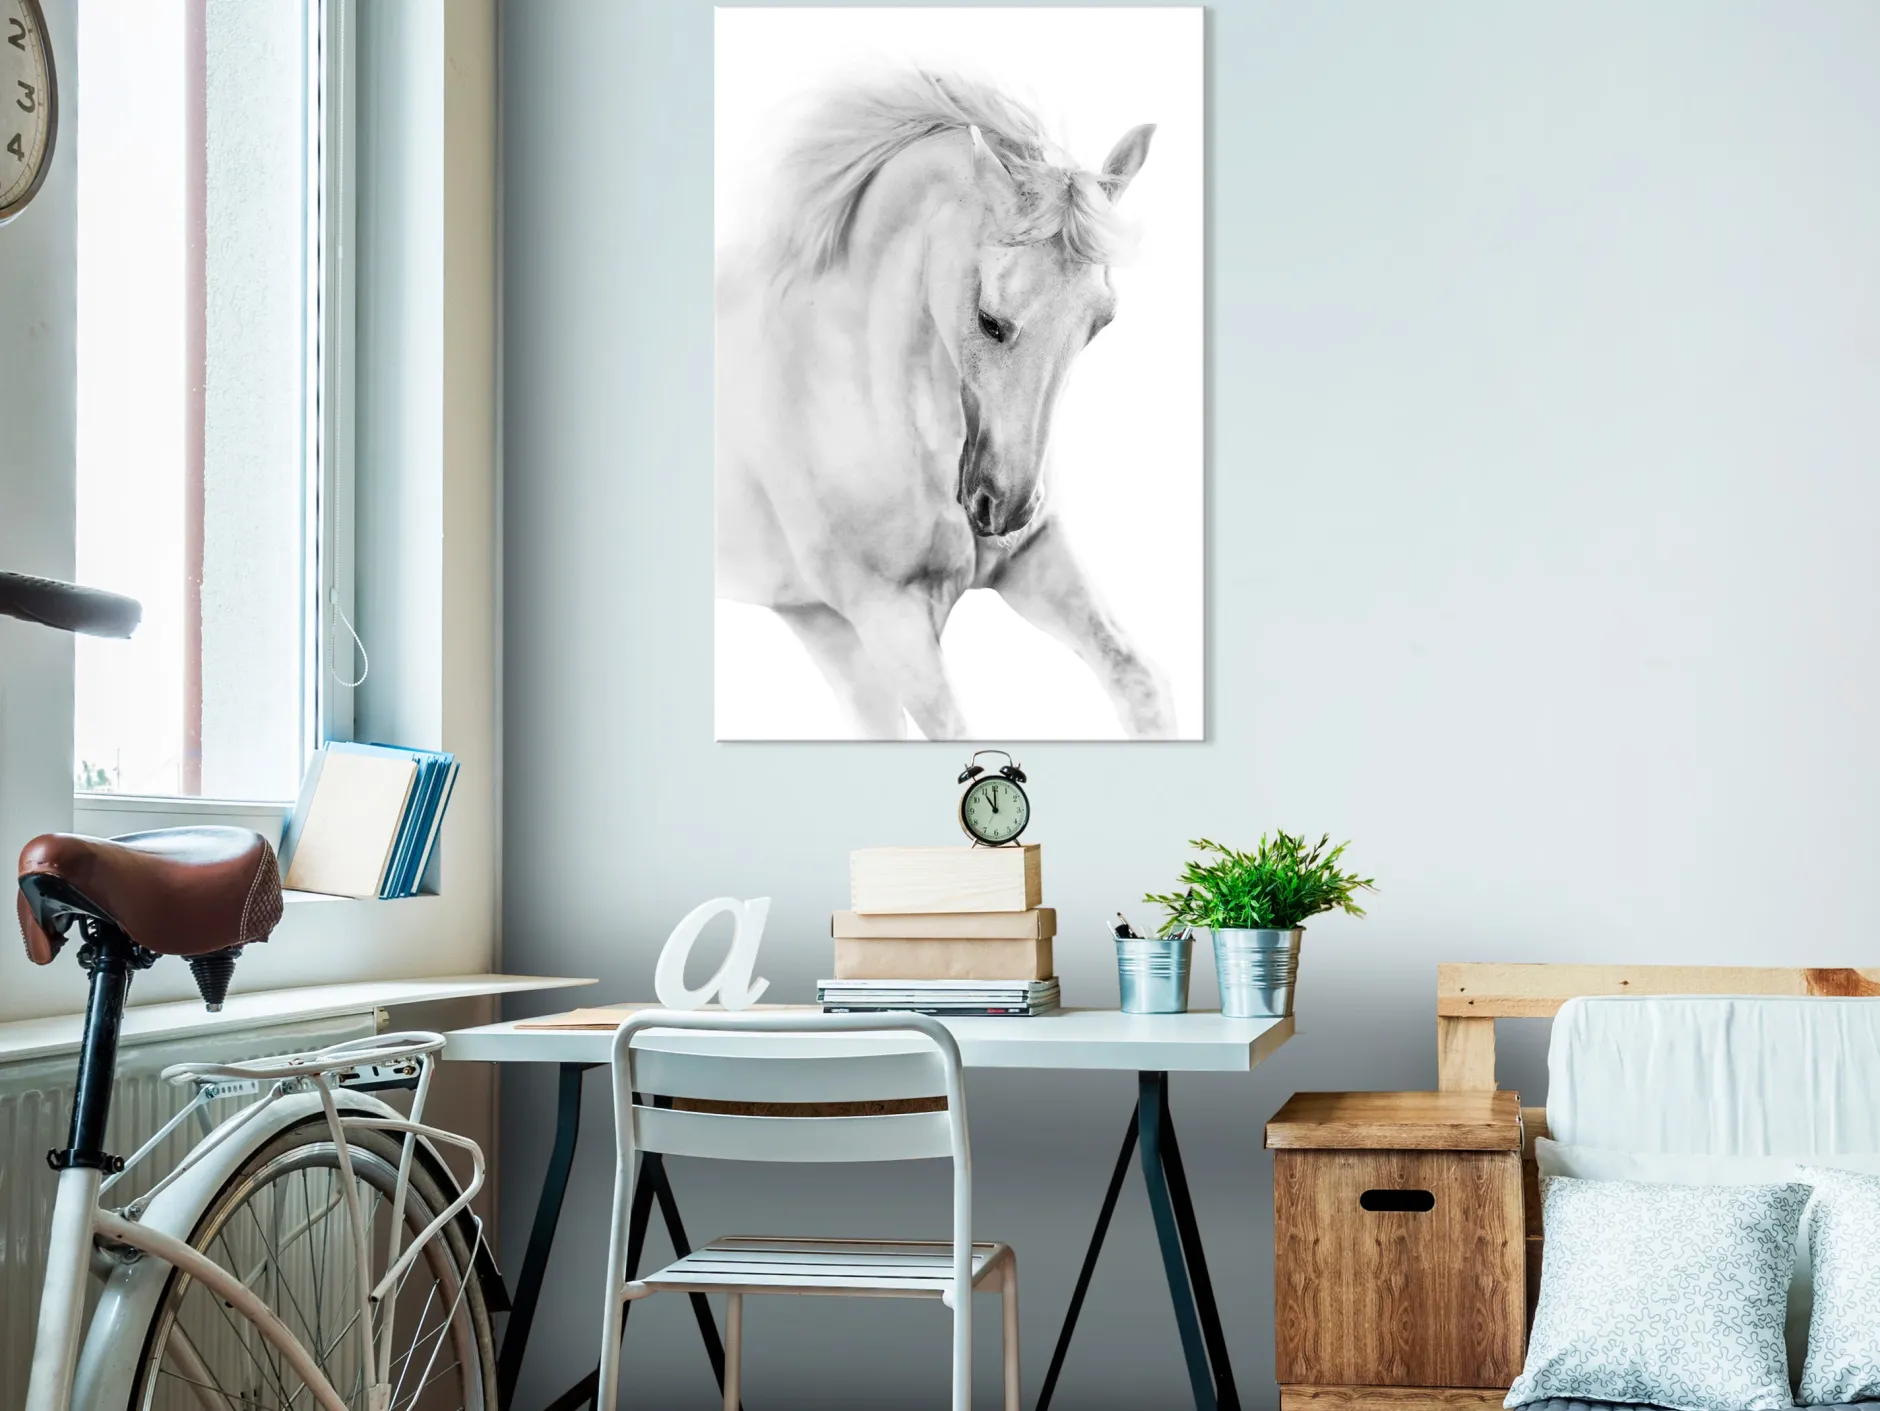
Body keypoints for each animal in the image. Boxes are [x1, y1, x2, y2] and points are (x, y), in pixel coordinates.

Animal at [716, 72, 1177, 740]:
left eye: (1102, 323)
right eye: (989, 319)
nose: (1003, 508)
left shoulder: (1034, 559)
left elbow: (1139, 682)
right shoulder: (891, 622)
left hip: (821, 627)